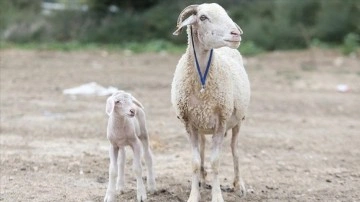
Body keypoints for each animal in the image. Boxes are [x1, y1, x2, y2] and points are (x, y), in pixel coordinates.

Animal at [171, 3, 250, 202]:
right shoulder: (189, 123)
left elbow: (215, 163)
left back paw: (239, 185)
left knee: (235, 150)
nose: (235, 34)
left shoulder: (221, 122)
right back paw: (202, 179)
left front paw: (217, 196)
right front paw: (194, 195)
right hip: (201, 123)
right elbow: (195, 161)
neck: (202, 84)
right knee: (203, 148)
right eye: (203, 17)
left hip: (237, 121)